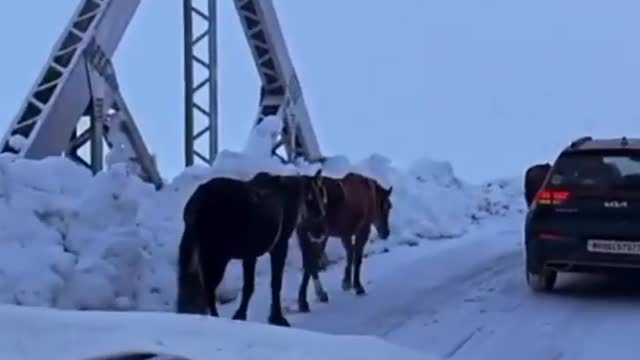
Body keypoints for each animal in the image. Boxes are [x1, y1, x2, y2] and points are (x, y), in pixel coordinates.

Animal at [174, 169, 328, 326]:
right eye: (318, 198)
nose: (320, 233)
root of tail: (198, 202)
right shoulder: (279, 247)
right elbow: (275, 284)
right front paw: (277, 318)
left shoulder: (250, 255)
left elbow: (249, 287)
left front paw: (241, 315)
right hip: (216, 258)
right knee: (208, 290)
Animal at [296, 173, 396, 314]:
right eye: (388, 206)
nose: (386, 233)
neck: (370, 196)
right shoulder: (362, 231)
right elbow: (357, 258)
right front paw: (358, 286)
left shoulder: (345, 234)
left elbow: (350, 254)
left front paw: (346, 282)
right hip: (317, 235)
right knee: (311, 263)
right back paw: (304, 301)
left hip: (305, 235)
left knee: (310, 264)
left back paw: (319, 294)